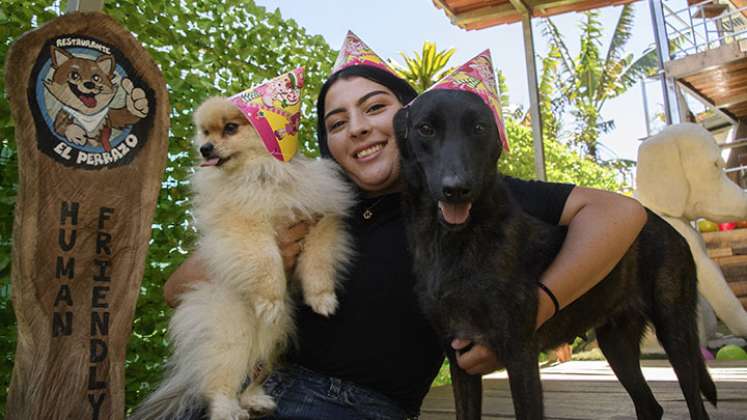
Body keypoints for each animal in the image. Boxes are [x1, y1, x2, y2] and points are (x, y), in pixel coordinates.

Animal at [130, 97, 356, 418]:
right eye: (205, 133)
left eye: (230, 128)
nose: (205, 148)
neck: (261, 174)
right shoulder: (245, 226)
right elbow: (267, 260)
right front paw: (270, 299)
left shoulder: (320, 219)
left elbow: (318, 261)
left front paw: (322, 298)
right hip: (230, 334)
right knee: (219, 383)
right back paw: (228, 408)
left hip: (272, 335)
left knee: (256, 371)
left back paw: (255, 399)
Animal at [394, 90, 716, 418]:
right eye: (425, 129)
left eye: (479, 128)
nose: (457, 189)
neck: (449, 242)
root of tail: (666, 225)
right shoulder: (459, 358)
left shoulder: (519, 353)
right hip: (616, 343)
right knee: (650, 405)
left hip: (675, 331)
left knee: (694, 401)